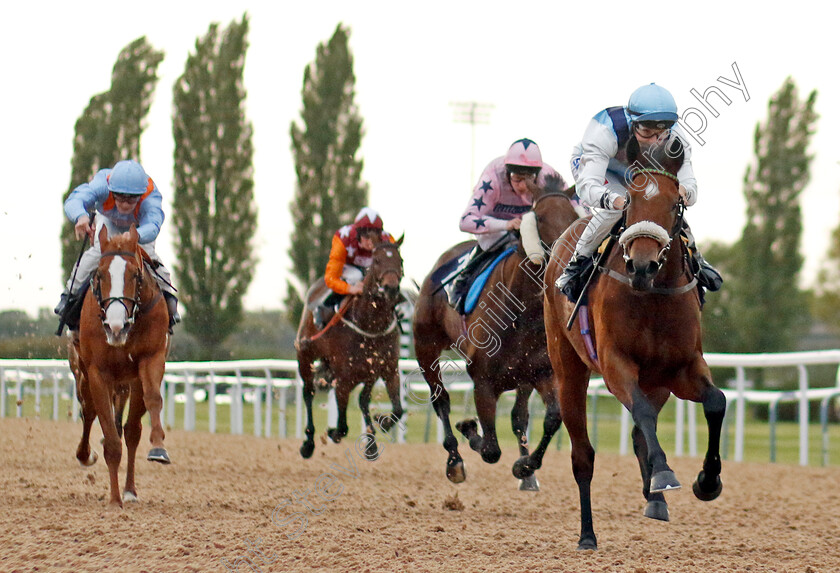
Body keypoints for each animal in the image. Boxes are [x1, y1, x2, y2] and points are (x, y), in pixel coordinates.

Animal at [71, 226, 172, 508]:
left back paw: (130, 490)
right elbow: (109, 437)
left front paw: (158, 447)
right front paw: (114, 500)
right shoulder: (97, 372)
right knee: (88, 412)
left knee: (131, 431)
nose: (116, 326)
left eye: (136, 275)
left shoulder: (151, 358)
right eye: (99, 274)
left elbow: (153, 399)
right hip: (83, 373)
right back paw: (86, 455)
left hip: (130, 382)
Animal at [296, 238, 406, 460]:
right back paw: (308, 443)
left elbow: (398, 409)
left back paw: (371, 443)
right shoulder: (344, 378)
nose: (391, 289)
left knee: (363, 400)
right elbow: (343, 426)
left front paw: (382, 424)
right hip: (305, 355)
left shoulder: (388, 369)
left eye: (400, 260)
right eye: (377, 261)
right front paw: (332, 432)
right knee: (309, 392)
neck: (369, 325)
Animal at [412, 177, 580, 490]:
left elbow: (551, 418)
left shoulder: (543, 374)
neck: (522, 314)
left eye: (574, 217)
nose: (566, 258)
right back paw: (454, 461)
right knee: (441, 400)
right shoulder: (483, 381)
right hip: (425, 346)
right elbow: (490, 449)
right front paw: (467, 426)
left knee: (519, 416)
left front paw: (526, 466)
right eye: (540, 217)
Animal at [528, 134, 724, 548]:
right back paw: (587, 533)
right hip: (568, 369)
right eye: (629, 203)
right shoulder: (615, 364)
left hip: (657, 381)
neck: (653, 295)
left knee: (637, 433)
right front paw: (665, 473)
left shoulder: (682, 367)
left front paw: (707, 481)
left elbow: (716, 402)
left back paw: (655, 501)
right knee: (583, 455)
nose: (642, 266)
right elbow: (643, 415)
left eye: (676, 204)